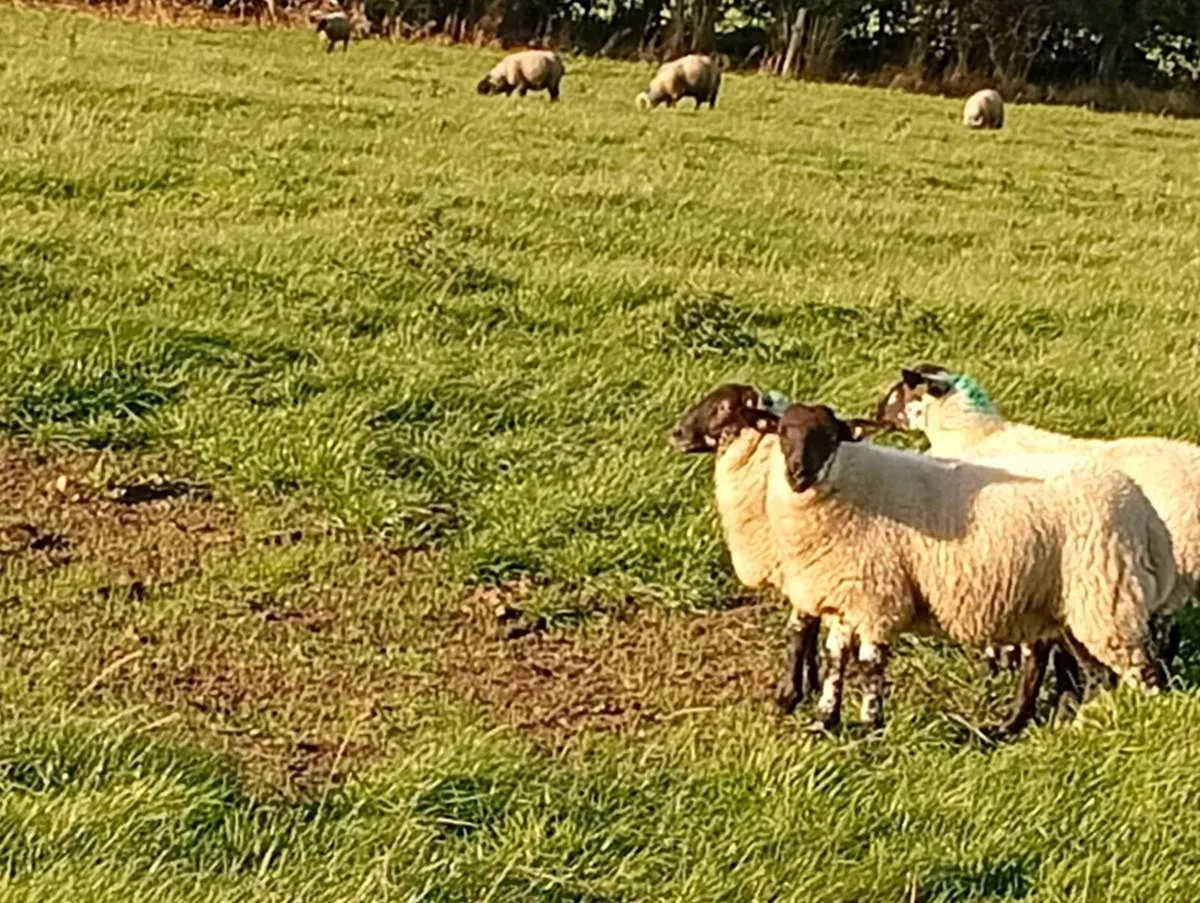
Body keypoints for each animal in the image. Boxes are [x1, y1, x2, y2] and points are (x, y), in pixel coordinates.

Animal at [766, 402, 1171, 734]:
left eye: (829, 436)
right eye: (783, 432)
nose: (797, 473)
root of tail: (1142, 507)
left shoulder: (877, 597)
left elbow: (869, 663)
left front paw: (869, 726)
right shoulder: (846, 596)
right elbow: (835, 658)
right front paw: (824, 721)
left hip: (1105, 592)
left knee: (1141, 673)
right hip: (1069, 603)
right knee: (1093, 674)